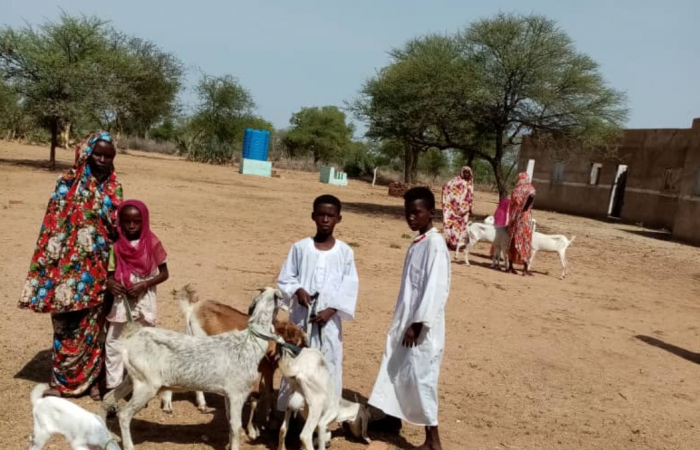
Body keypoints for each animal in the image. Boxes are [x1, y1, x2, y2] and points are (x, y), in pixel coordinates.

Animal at [100, 286, 284, 450]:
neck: (250, 343)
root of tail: (131, 338)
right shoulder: (237, 392)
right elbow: (236, 425)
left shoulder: (228, 393)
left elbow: (230, 422)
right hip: (146, 385)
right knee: (124, 415)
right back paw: (128, 445)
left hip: (132, 378)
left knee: (107, 399)